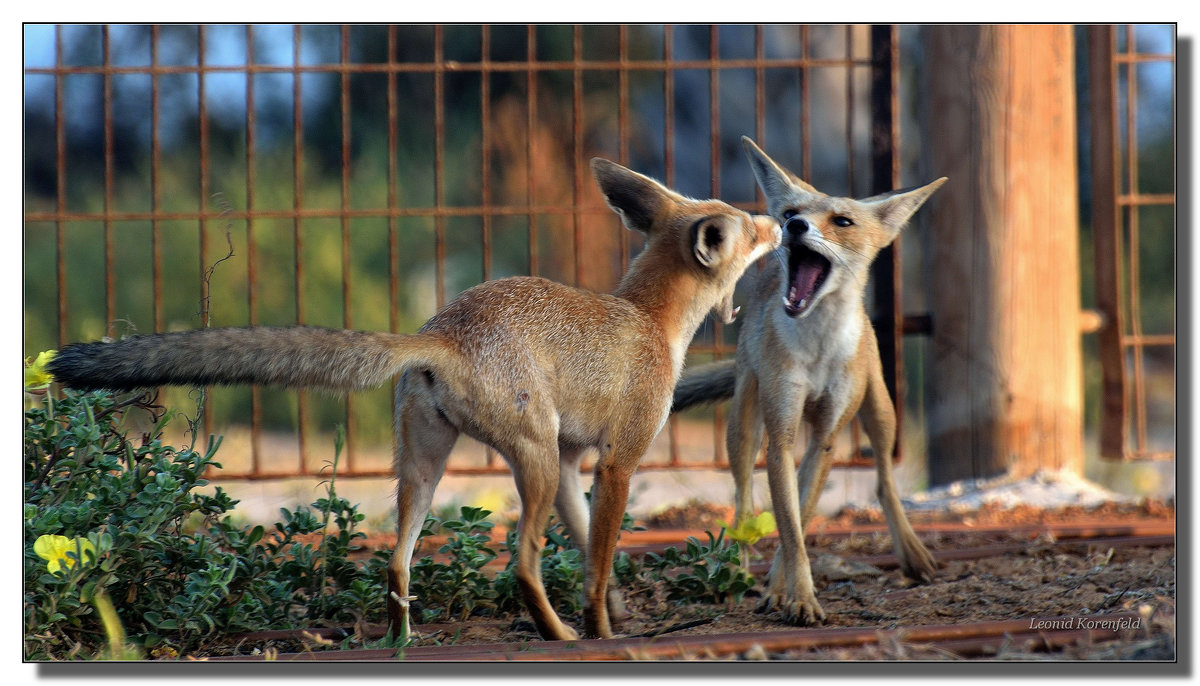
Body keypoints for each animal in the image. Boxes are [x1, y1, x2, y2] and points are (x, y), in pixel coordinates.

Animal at [51, 158, 787, 642]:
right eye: (750, 230)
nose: (783, 224)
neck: (650, 320)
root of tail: (442, 331)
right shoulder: (617, 462)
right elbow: (598, 568)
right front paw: (605, 632)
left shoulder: (575, 464)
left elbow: (588, 554)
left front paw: (620, 618)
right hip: (529, 461)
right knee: (521, 567)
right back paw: (559, 639)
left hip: (429, 470)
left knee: (396, 564)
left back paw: (400, 644)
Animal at [676, 137, 945, 628]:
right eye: (791, 212)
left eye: (842, 221)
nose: (794, 226)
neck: (818, 349)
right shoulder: (780, 437)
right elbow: (790, 528)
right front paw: (794, 596)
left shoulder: (825, 439)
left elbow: (797, 522)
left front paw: (785, 592)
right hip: (743, 426)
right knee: (742, 501)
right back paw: (738, 570)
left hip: (881, 412)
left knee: (884, 480)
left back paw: (912, 553)